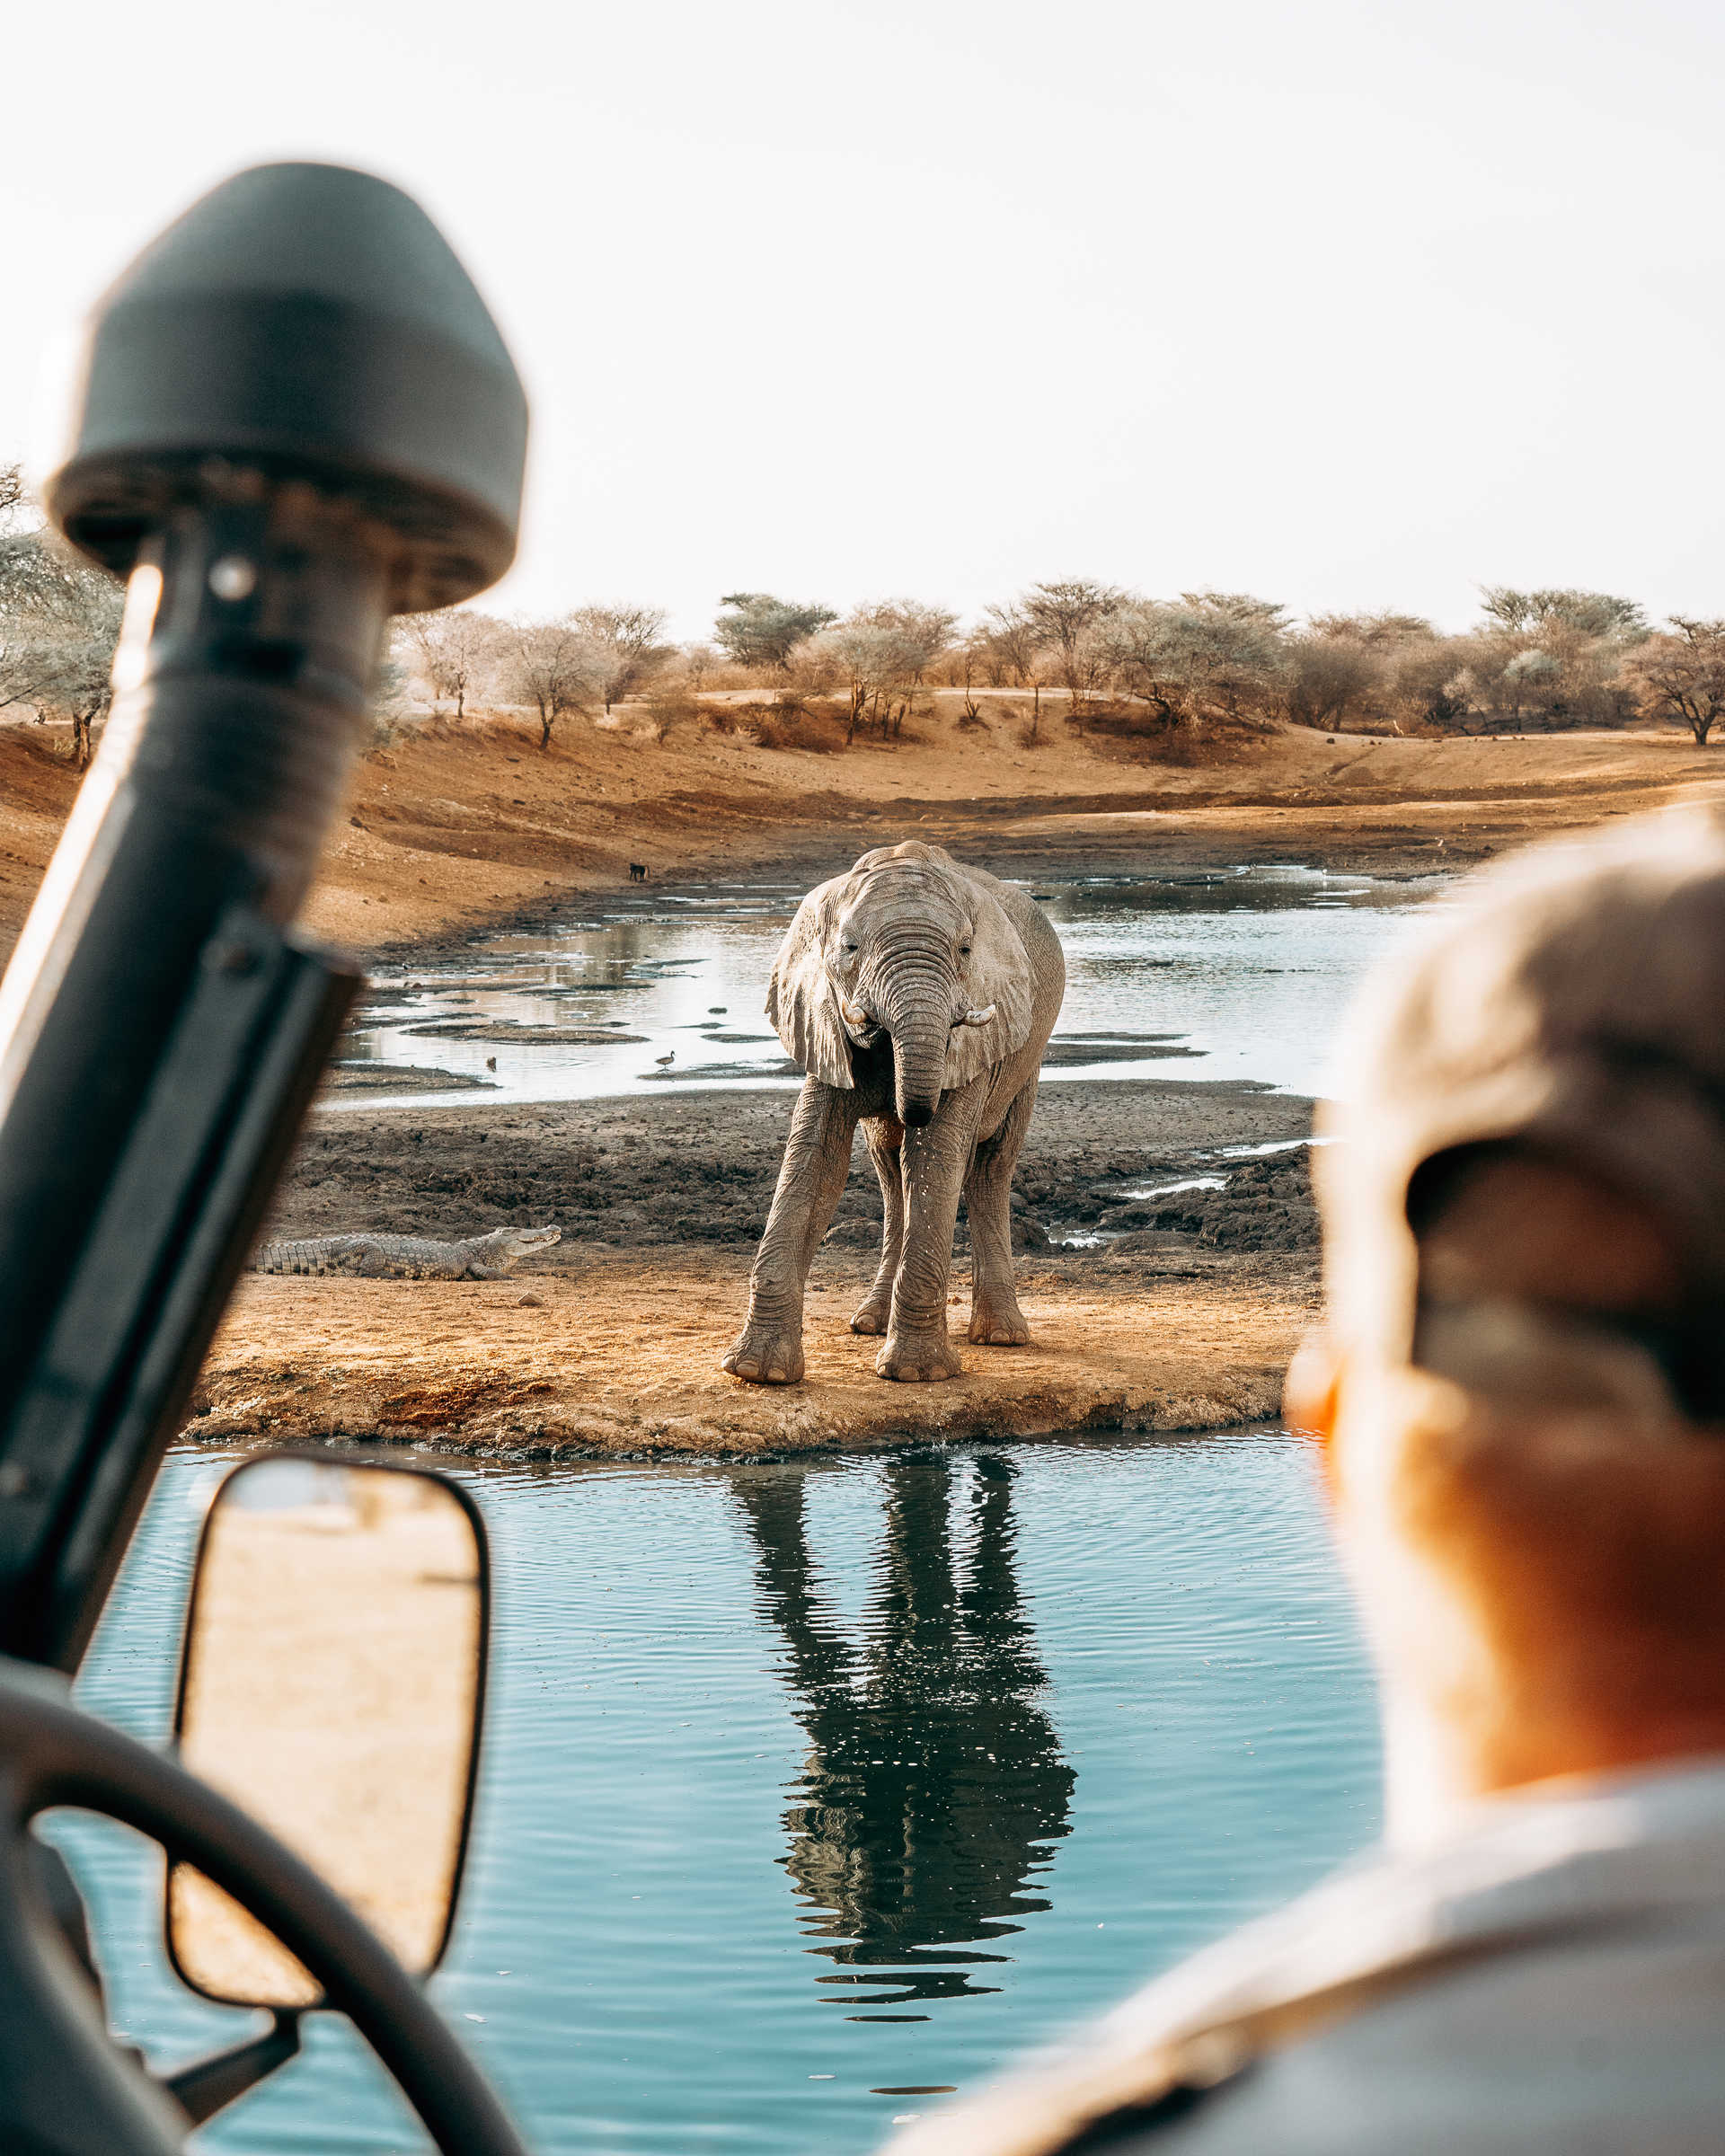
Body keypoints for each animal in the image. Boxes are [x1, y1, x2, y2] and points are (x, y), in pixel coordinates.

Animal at [715, 841, 1065, 1380]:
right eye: (849, 948)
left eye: (965, 951)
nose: (907, 1106)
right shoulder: (823, 1020)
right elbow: (817, 1159)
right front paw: (757, 1371)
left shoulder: (976, 1038)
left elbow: (937, 1155)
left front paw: (916, 1374)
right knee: (888, 1166)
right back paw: (869, 1325)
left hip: (1027, 1057)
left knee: (990, 1166)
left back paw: (1002, 1337)